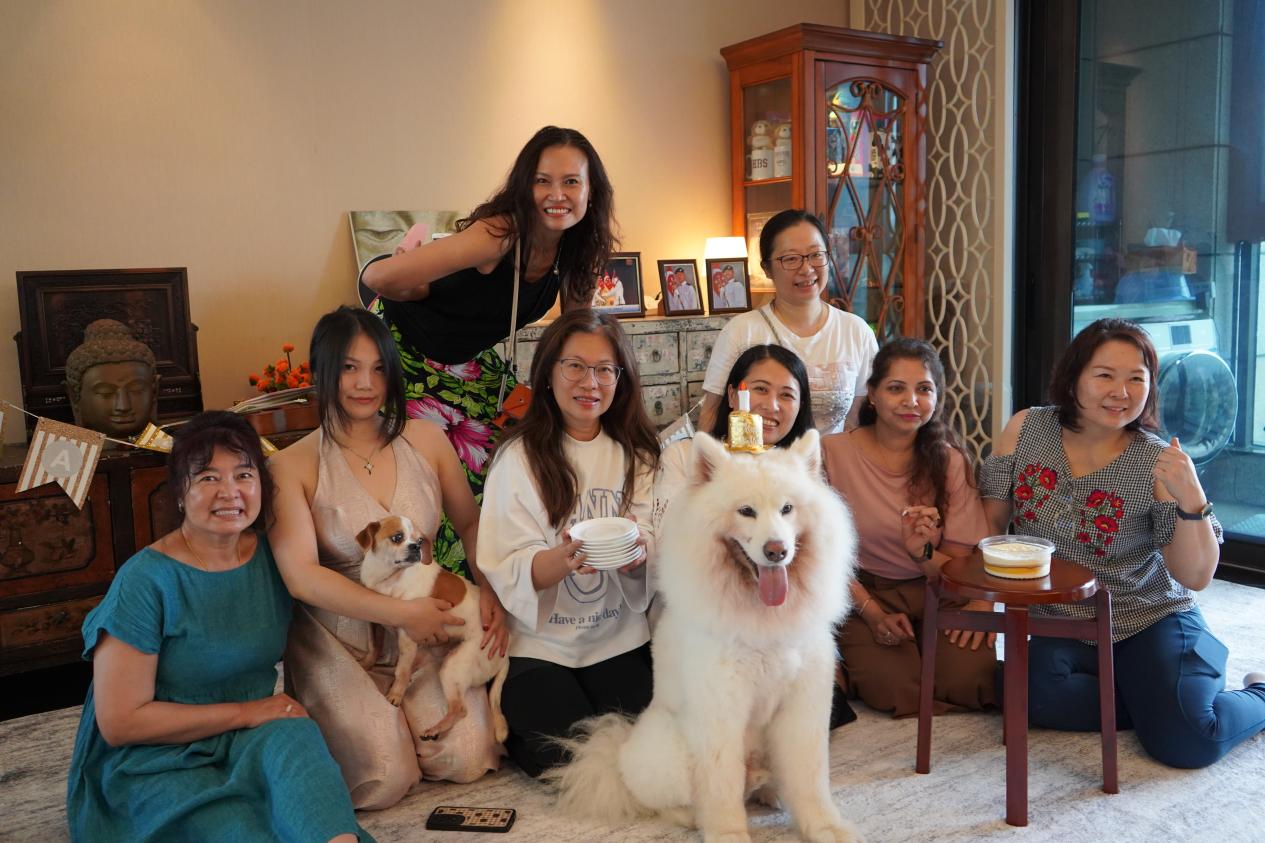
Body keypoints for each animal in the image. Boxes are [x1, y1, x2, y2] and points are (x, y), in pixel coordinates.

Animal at [355, 514, 509, 743]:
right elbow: (374, 647)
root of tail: (506, 654)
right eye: (397, 537)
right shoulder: (374, 623)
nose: (416, 547)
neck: (388, 579)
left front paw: (395, 696)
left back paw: (435, 729)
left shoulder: (407, 638)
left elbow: (401, 671)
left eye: (420, 541)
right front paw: (366, 664)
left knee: (459, 709)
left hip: (452, 667)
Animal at [547, 430, 859, 843]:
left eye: (787, 509)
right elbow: (721, 789)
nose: (776, 550)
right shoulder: (720, 712)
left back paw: (770, 789)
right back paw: (696, 814)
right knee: (672, 800)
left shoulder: (803, 705)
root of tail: (619, 749)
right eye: (746, 511)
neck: (763, 618)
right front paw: (728, 835)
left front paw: (826, 828)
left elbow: (809, 779)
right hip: (672, 752)